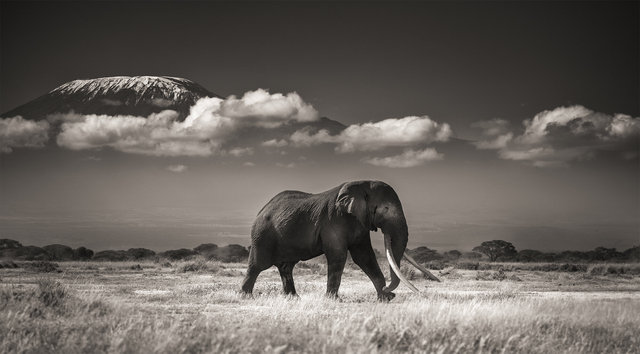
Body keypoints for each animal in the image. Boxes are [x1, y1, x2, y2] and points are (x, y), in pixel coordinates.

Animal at [240, 180, 440, 302]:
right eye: (385, 209)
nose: (388, 290)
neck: (362, 185)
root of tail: (262, 209)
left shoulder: (360, 222)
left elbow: (364, 257)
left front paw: (385, 299)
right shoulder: (333, 219)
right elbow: (338, 255)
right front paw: (333, 300)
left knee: (286, 267)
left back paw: (294, 299)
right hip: (262, 235)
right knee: (257, 265)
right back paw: (245, 296)